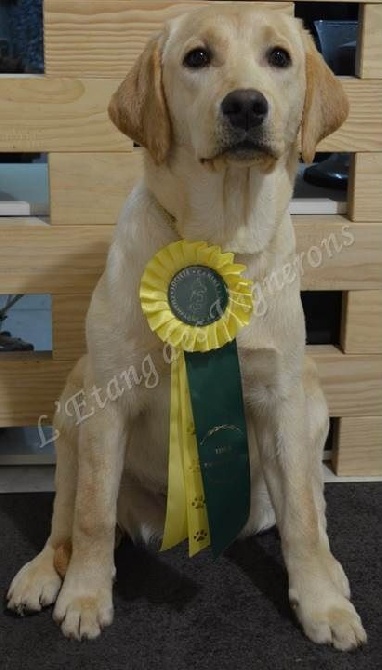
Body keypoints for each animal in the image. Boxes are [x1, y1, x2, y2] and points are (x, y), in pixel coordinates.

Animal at [8, 5, 368, 652]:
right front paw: (85, 596)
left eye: (280, 57)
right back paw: (45, 572)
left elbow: (304, 516)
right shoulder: (107, 405)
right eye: (197, 57)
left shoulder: (281, 399)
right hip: (74, 405)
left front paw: (321, 604)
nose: (246, 105)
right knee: (68, 518)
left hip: (312, 403)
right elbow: (92, 514)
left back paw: (330, 571)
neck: (220, 240)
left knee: (314, 503)